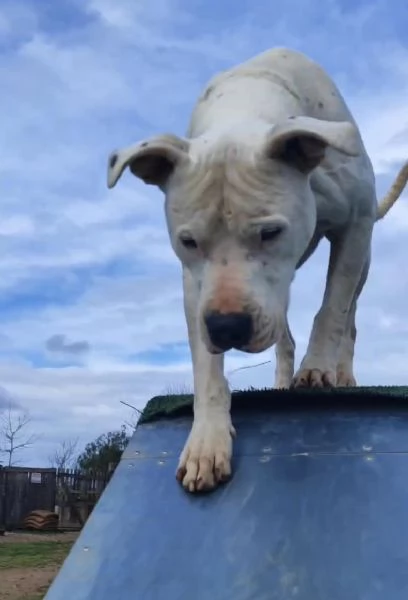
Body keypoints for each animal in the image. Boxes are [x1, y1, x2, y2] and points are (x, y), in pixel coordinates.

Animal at [107, 49, 406, 492]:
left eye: (270, 232)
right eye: (188, 241)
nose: (227, 327)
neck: (243, 109)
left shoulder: (356, 225)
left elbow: (331, 310)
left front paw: (317, 367)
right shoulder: (195, 284)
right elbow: (205, 364)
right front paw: (206, 440)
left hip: (361, 260)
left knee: (349, 317)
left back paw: (341, 371)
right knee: (285, 335)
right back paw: (281, 381)